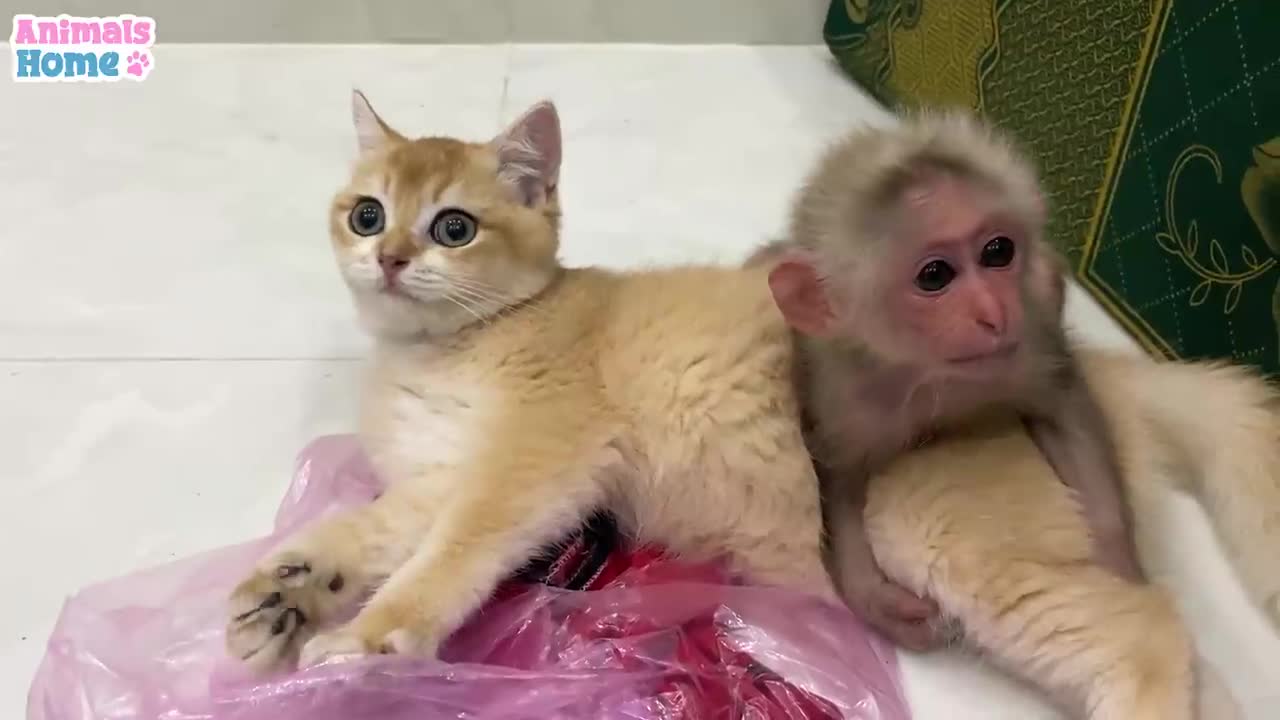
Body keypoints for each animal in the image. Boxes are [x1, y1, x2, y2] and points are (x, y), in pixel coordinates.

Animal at [222, 92, 839, 671]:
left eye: (454, 228)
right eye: (367, 217)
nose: (390, 259)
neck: (438, 351)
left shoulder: (532, 464)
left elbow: (455, 547)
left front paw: (373, 634)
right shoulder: (444, 472)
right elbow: (374, 526)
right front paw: (291, 586)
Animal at [747, 109, 1141, 648]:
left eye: (997, 251)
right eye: (935, 276)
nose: (993, 312)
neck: (933, 374)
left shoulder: (1032, 332)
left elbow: (1064, 407)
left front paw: (1117, 567)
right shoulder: (849, 395)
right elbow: (837, 476)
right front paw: (871, 592)